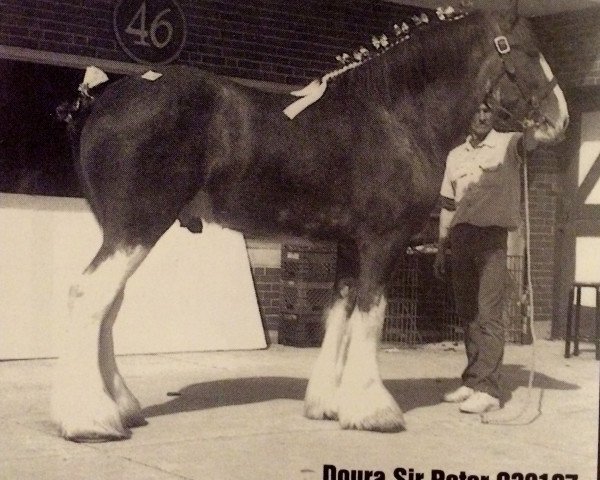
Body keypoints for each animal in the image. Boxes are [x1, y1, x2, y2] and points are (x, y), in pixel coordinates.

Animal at [51, 7, 568, 442]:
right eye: (529, 51)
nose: (559, 120)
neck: (396, 116)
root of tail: (101, 101)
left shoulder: (349, 244)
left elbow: (340, 313)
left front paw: (328, 403)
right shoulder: (383, 241)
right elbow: (371, 314)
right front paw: (375, 411)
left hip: (121, 231)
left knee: (108, 305)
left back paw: (122, 406)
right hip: (137, 227)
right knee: (90, 296)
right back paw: (92, 420)